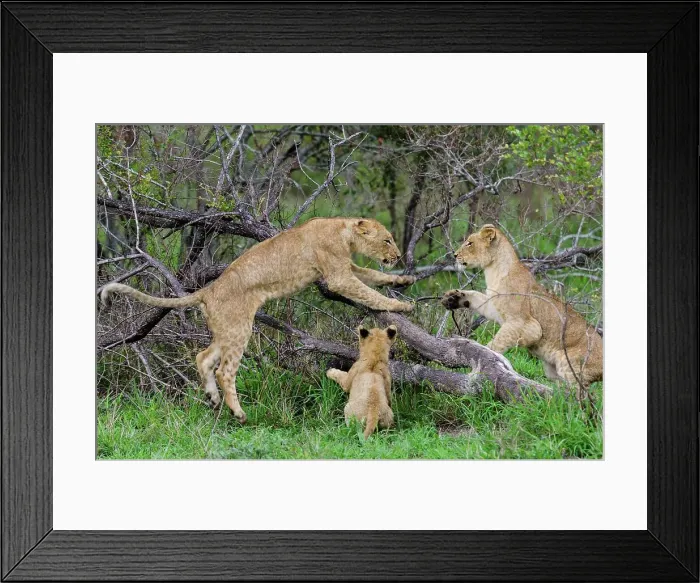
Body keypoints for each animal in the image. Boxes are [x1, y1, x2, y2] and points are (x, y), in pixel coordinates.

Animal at [101, 217, 415, 423]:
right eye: (387, 239)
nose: (397, 255)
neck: (343, 231)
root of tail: (208, 290)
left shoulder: (347, 267)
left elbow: (373, 275)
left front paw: (403, 280)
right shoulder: (338, 276)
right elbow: (369, 292)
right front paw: (400, 305)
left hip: (226, 330)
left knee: (203, 358)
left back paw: (213, 399)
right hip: (240, 328)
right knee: (224, 371)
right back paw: (238, 413)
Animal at [441, 224, 602, 389]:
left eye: (470, 243)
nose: (455, 255)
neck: (493, 272)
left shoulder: (527, 325)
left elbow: (496, 343)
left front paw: (482, 358)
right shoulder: (492, 306)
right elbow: (475, 296)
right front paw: (452, 298)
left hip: (568, 364)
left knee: (579, 393)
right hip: (552, 370)